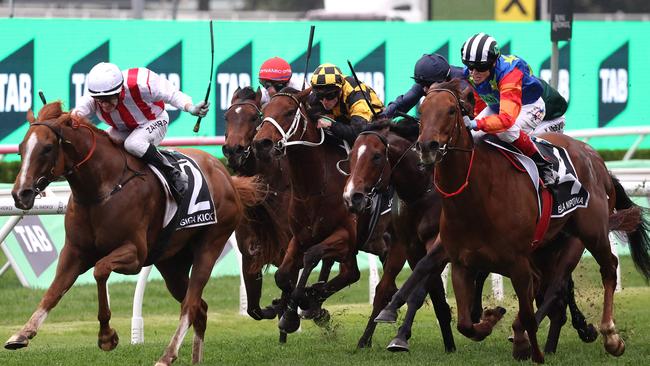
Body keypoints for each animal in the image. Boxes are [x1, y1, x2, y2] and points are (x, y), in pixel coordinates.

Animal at [5, 102, 264, 366]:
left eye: (47, 148)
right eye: (21, 149)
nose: (20, 194)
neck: (103, 188)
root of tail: (225, 174)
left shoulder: (135, 254)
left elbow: (100, 270)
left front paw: (107, 336)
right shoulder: (74, 252)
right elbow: (54, 291)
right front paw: (22, 333)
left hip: (211, 244)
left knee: (190, 305)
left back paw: (167, 355)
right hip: (172, 263)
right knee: (200, 308)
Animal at [251, 87, 388, 336]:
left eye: (289, 112)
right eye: (263, 112)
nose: (261, 143)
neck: (314, 186)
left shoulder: (345, 236)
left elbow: (312, 257)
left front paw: (296, 310)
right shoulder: (300, 236)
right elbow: (282, 275)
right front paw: (293, 306)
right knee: (351, 273)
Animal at [410, 80, 648, 364]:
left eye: (451, 111)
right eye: (422, 111)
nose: (427, 146)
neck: (477, 196)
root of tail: (596, 159)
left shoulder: (518, 263)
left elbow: (527, 315)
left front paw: (529, 349)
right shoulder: (461, 263)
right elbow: (466, 325)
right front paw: (491, 319)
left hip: (591, 232)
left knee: (606, 268)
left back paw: (611, 337)